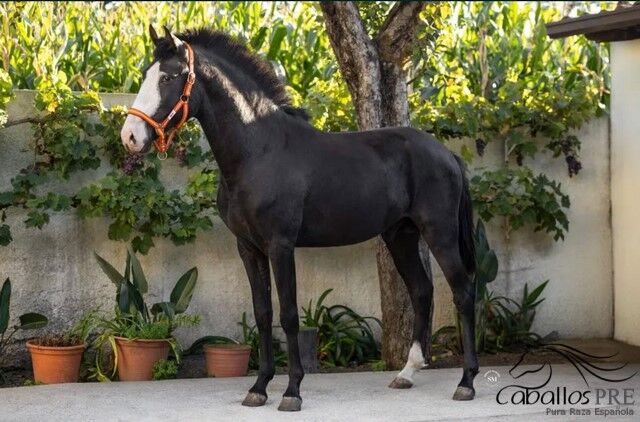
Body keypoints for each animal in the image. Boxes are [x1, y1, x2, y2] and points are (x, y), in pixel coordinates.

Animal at [120, 26, 478, 412]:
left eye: (169, 77)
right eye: (145, 74)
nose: (130, 136)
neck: (259, 150)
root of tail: (447, 155)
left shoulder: (281, 246)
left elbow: (289, 315)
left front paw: (292, 391)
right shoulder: (248, 247)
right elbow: (262, 313)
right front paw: (259, 387)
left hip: (440, 233)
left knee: (463, 292)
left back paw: (466, 382)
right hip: (401, 235)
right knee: (422, 291)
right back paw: (406, 374)